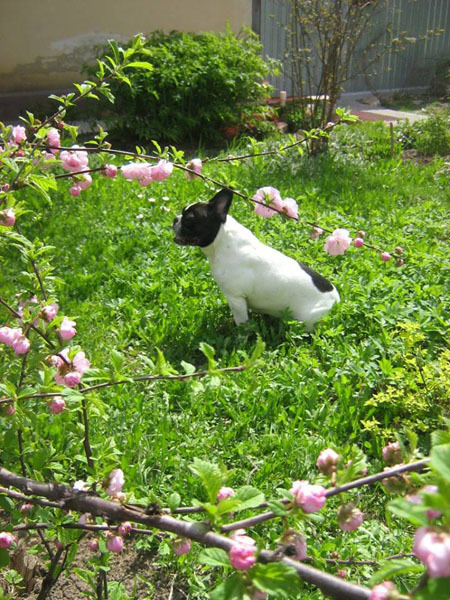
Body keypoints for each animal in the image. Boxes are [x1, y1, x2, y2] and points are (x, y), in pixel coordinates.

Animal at [173, 188, 340, 330]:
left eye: (189, 219)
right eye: (182, 212)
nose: (175, 219)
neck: (222, 240)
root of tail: (336, 301)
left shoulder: (236, 298)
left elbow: (242, 323)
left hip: (306, 319)